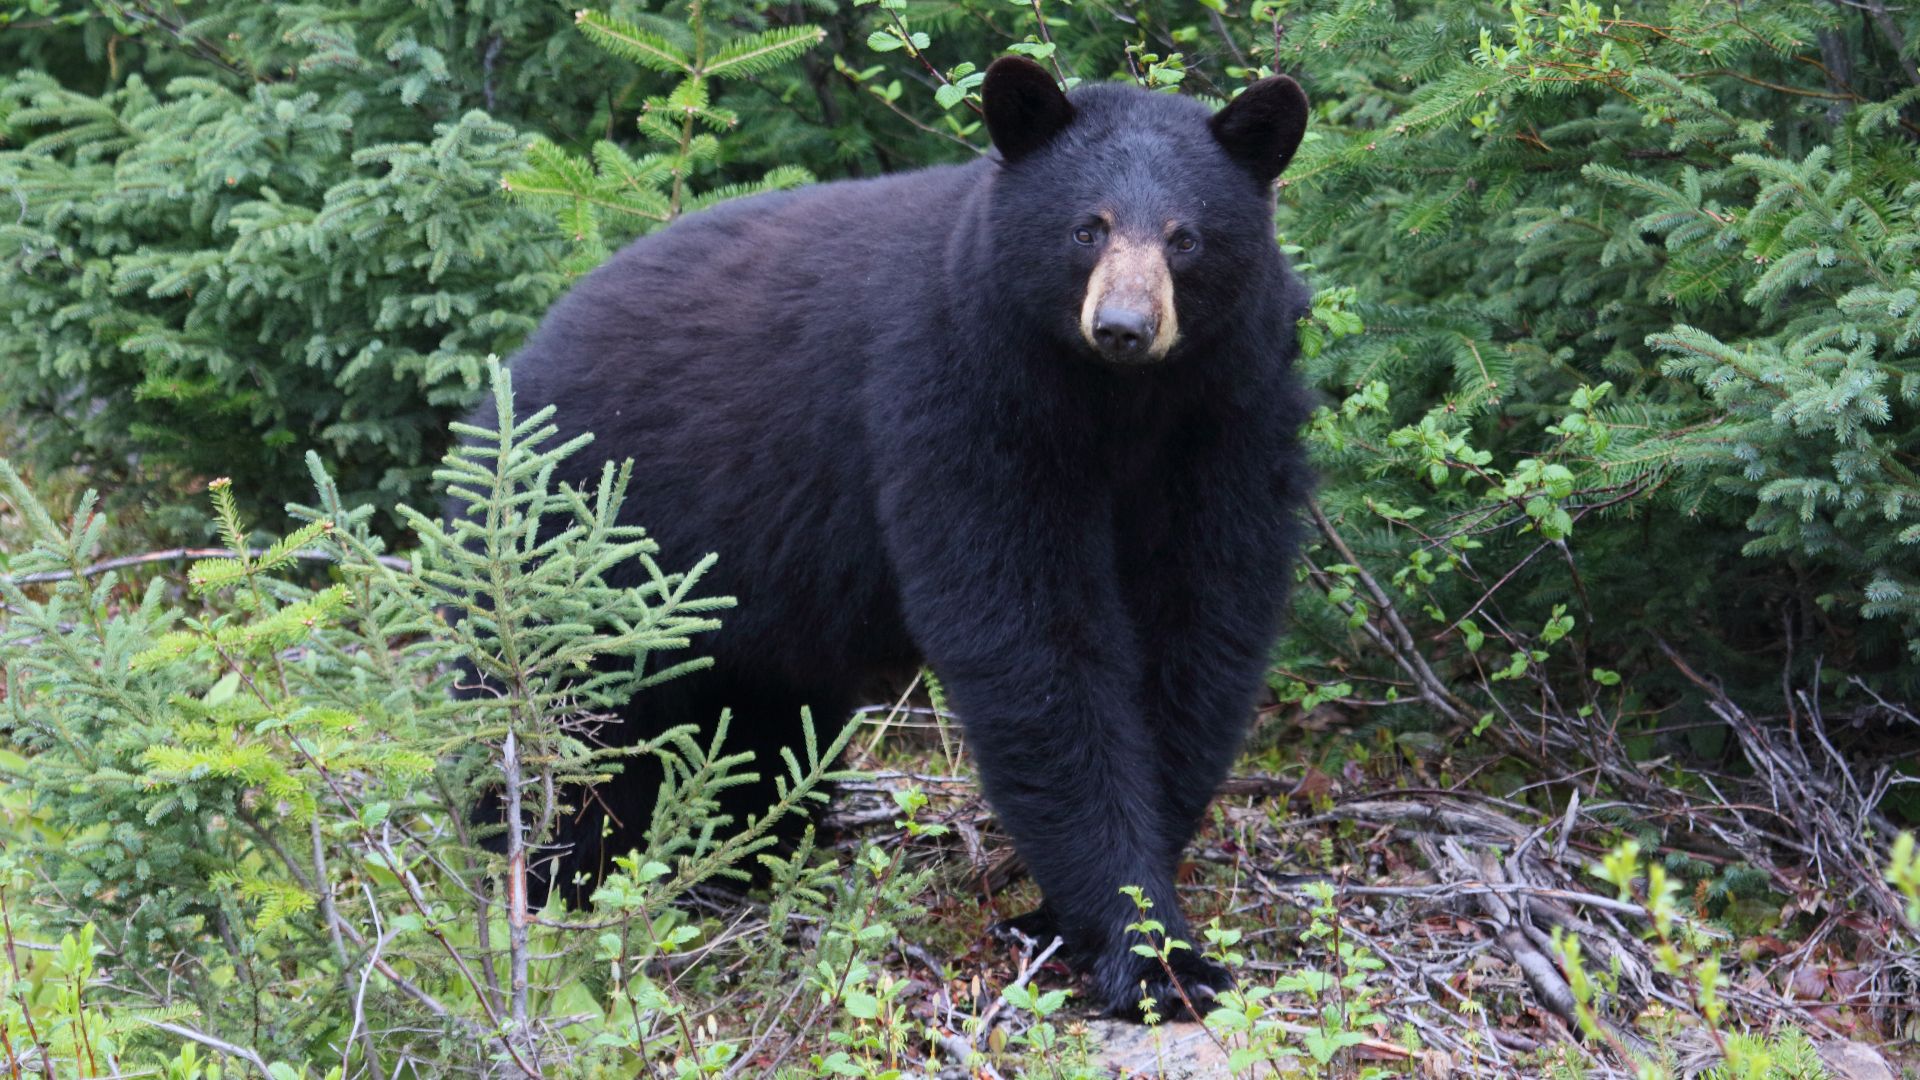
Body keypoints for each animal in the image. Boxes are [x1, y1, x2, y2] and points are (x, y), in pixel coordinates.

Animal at [458, 56, 1313, 1019]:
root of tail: (515, 369)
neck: (1116, 406)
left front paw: (1097, 923)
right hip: (577, 548)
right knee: (555, 720)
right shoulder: (959, 397)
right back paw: (547, 869)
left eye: (1186, 238)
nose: (1123, 328)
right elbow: (1032, 643)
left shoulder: (1226, 415)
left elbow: (1200, 627)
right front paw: (1149, 949)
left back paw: (743, 848)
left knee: (754, 718)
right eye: (1086, 229)